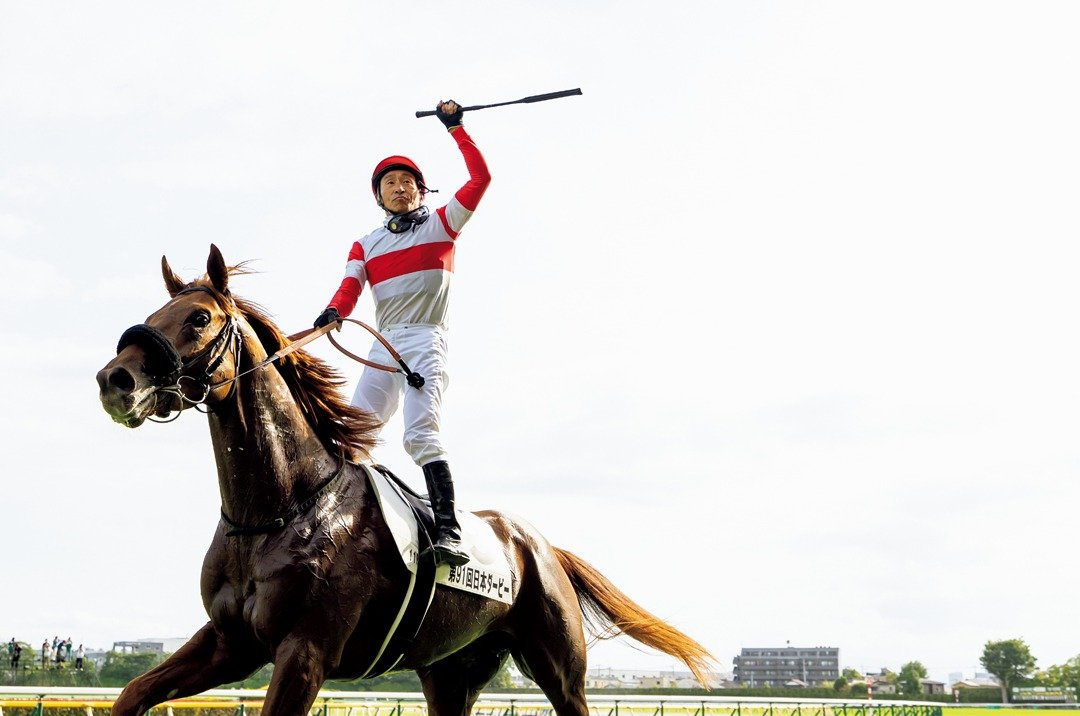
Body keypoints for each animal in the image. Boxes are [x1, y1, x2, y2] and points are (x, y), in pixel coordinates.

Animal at [95, 246, 717, 716]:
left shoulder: (304, 651)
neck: (279, 509)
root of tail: (540, 545)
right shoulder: (230, 641)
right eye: (155, 313)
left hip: (560, 670)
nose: (114, 380)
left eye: (199, 318)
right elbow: (131, 693)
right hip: (449, 672)